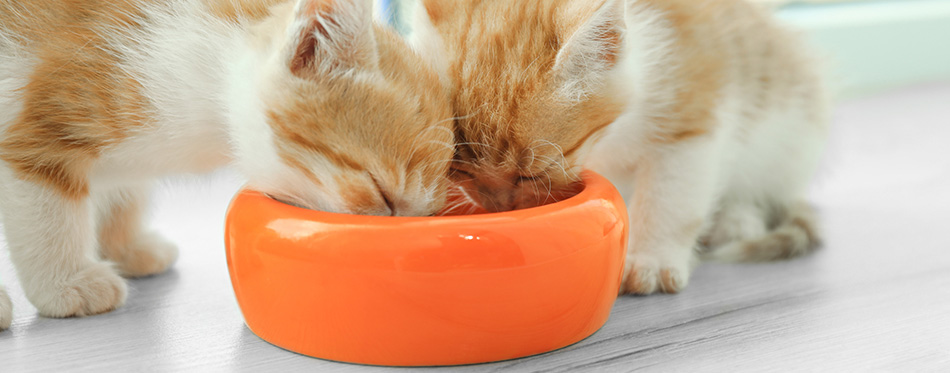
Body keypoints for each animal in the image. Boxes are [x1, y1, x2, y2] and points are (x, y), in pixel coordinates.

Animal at [0, 0, 456, 326]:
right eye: (384, 195)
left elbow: (127, 189)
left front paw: (127, 246)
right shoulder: (53, 110)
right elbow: (43, 203)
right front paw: (67, 282)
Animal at [412, 0, 828, 294]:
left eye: (530, 175)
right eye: (461, 171)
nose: (498, 207)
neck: (611, 137)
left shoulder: (693, 115)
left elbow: (672, 197)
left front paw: (650, 259)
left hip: (788, 138)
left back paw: (738, 219)